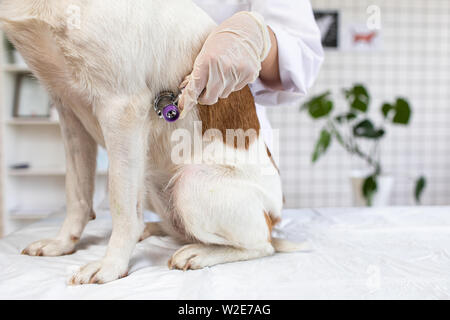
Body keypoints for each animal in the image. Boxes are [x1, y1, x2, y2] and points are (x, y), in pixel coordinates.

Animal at [0, 0, 302, 284]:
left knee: (261, 246)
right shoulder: (68, 111)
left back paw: (199, 253)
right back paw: (155, 230)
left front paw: (111, 265)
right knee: (175, 227)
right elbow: (77, 193)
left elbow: (121, 207)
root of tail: (274, 214)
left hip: (191, 183)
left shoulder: (121, 108)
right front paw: (63, 243)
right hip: (148, 178)